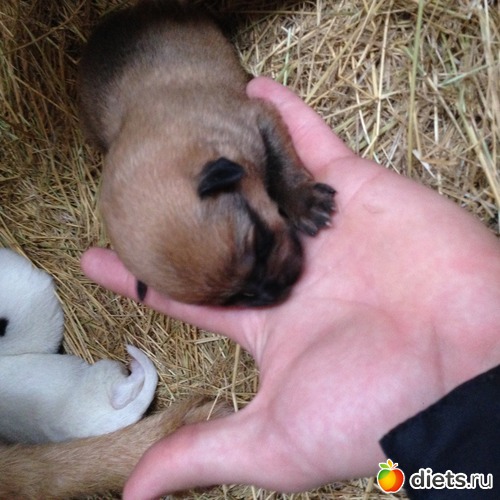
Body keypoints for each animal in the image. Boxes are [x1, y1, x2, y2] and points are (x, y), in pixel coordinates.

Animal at [78, 0, 336, 306]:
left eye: (261, 245)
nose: (274, 292)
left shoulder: (260, 117)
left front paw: (305, 202)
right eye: (231, 299)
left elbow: (281, 165)